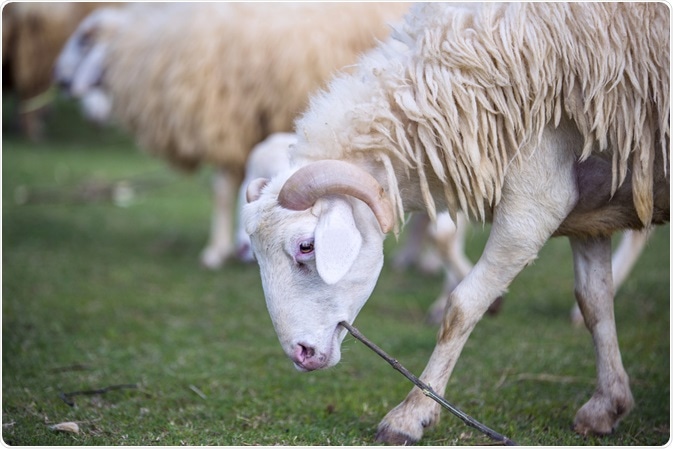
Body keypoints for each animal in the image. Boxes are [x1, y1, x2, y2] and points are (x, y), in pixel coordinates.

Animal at [242, 2, 669, 444]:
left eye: (307, 247)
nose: (300, 354)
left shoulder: (539, 195)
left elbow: (462, 306)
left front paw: (412, 414)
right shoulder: (590, 209)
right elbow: (594, 302)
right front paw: (607, 405)